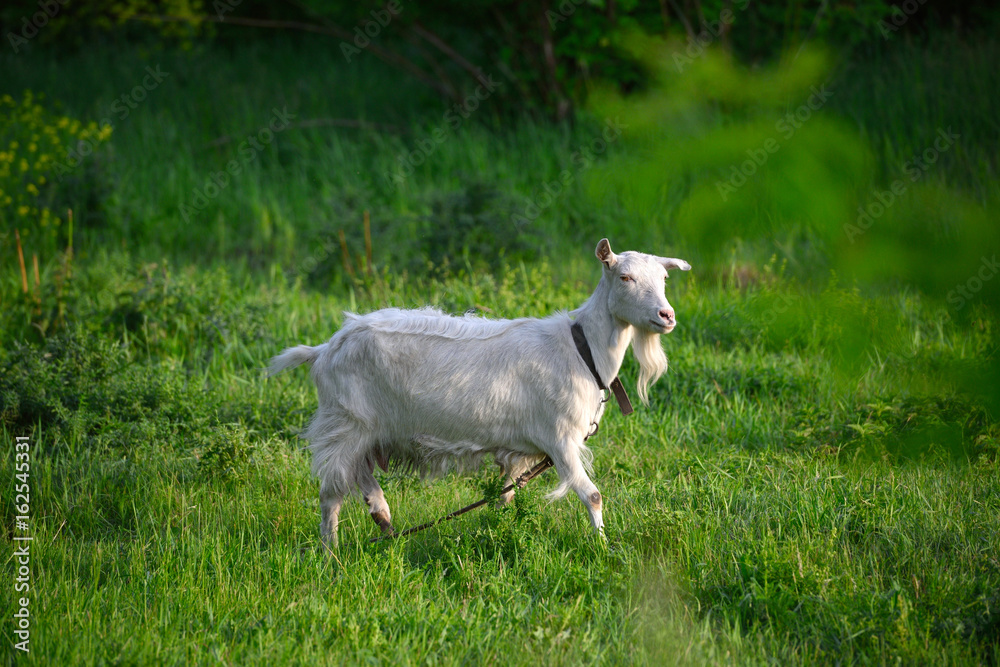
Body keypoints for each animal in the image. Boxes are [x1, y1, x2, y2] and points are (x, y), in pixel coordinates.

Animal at [270, 240, 692, 548]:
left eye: (664, 279)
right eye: (625, 277)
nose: (667, 316)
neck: (580, 350)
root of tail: (324, 349)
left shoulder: (524, 452)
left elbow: (507, 497)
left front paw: (502, 529)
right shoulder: (560, 439)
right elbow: (592, 495)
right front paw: (604, 547)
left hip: (364, 428)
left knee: (357, 472)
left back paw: (381, 515)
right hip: (347, 421)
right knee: (332, 491)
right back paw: (331, 550)